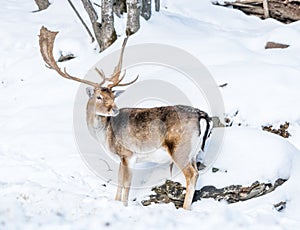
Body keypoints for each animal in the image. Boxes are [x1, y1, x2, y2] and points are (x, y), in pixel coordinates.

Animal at [39, 27, 212, 210]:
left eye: (112, 96)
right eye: (100, 97)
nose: (114, 109)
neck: (105, 136)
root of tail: (201, 115)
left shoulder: (128, 153)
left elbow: (127, 183)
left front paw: (124, 205)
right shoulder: (120, 157)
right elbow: (119, 180)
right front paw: (115, 201)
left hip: (180, 148)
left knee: (192, 175)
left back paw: (185, 209)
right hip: (193, 153)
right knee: (196, 172)